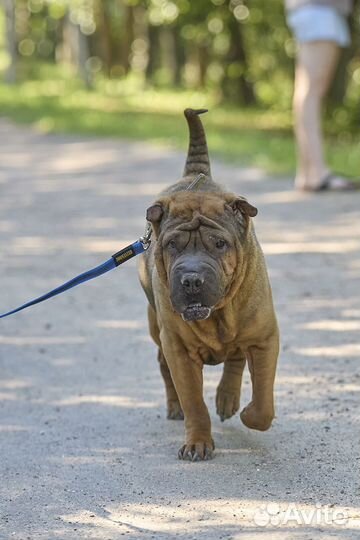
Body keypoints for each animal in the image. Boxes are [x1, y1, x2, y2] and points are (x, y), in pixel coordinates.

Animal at [138, 108, 278, 460]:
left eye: (219, 244)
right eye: (172, 245)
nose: (191, 279)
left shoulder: (265, 338)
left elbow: (263, 402)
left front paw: (249, 414)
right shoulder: (178, 349)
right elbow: (194, 402)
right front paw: (198, 442)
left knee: (236, 358)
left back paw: (229, 399)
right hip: (156, 328)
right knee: (164, 368)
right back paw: (176, 407)